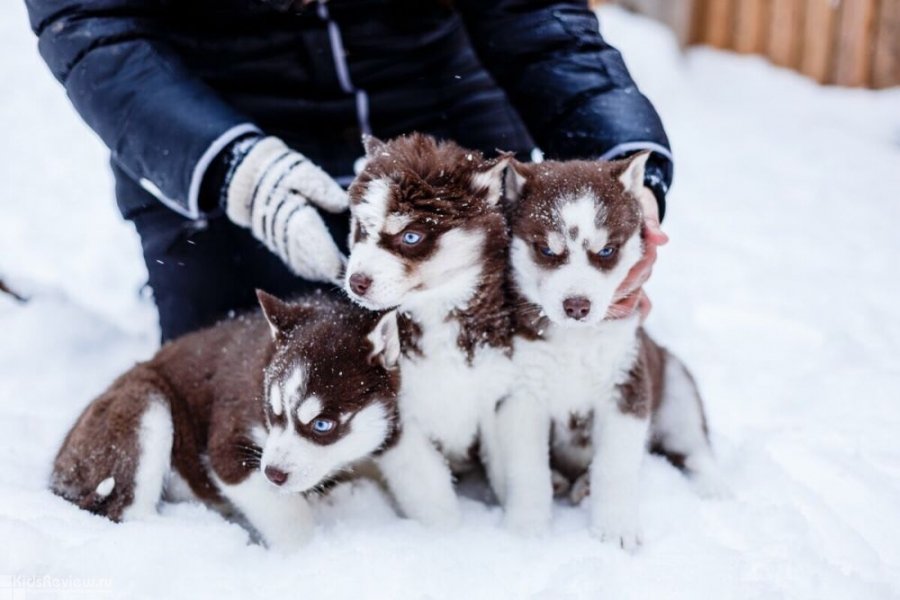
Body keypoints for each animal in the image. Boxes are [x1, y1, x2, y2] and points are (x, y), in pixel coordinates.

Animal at [51, 292, 400, 552]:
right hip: (145, 404)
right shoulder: (229, 445)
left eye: (322, 425)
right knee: (126, 510)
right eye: (272, 411)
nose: (273, 474)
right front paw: (305, 554)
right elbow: (284, 512)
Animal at [344, 134, 512, 528]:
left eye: (411, 236)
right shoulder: (399, 423)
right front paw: (445, 536)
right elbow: (431, 495)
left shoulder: (494, 394)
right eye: (362, 228)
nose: (356, 281)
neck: (435, 314)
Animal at [496, 154, 728, 548]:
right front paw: (527, 528)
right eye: (547, 250)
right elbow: (527, 468)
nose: (577, 306)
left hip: (676, 386)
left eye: (606, 251)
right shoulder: (522, 394)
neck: (575, 340)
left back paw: (714, 490)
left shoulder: (626, 384)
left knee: (696, 450)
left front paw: (615, 528)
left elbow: (615, 467)